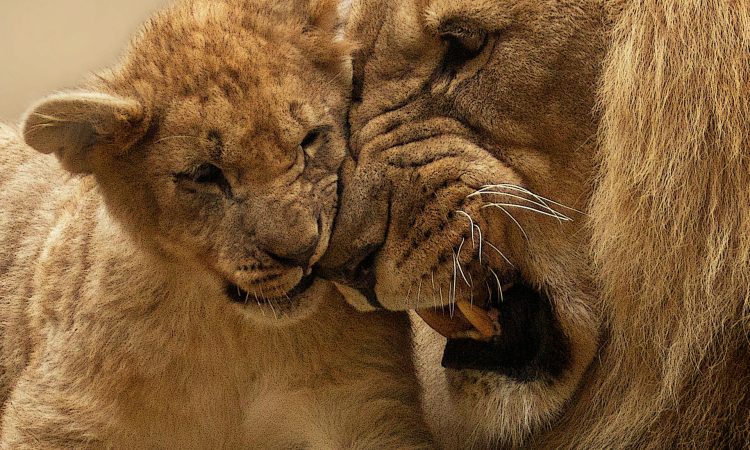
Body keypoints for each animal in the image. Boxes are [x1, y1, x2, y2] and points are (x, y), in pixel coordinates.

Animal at [0, 0, 433, 447]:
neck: (239, 338)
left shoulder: (368, 408)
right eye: (204, 174)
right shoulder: (57, 418)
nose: (302, 250)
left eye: (311, 138)